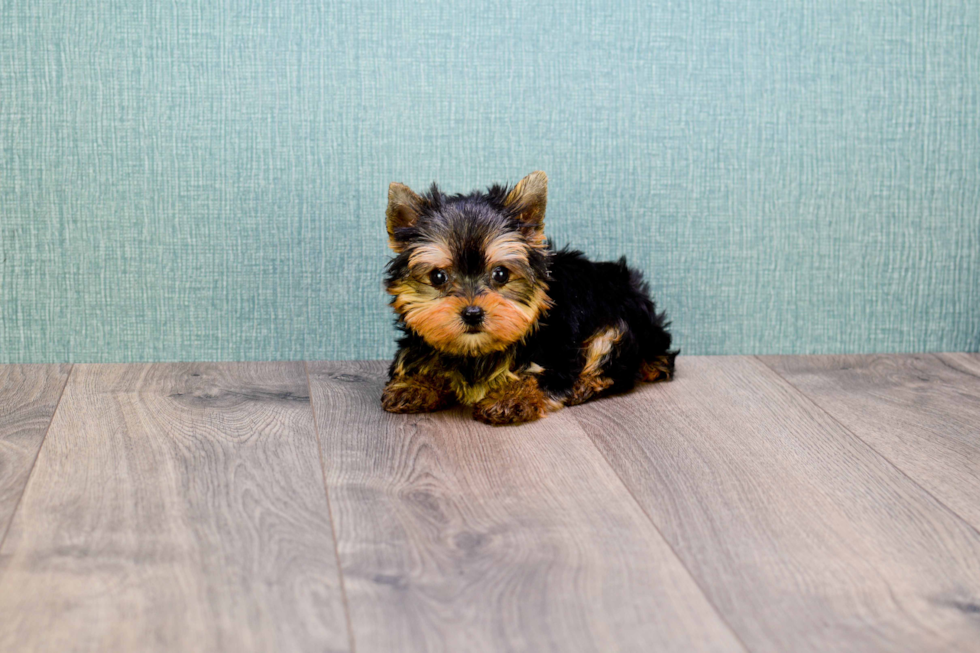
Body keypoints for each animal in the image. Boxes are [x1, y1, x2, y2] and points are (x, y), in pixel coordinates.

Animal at [380, 171, 672, 426]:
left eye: (500, 274)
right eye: (438, 277)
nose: (473, 313)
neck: (474, 353)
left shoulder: (556, 354)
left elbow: (537, 376)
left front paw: (511, 397)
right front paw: (414, 385)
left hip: (621, 325)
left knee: (616, 361)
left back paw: (585, 384)